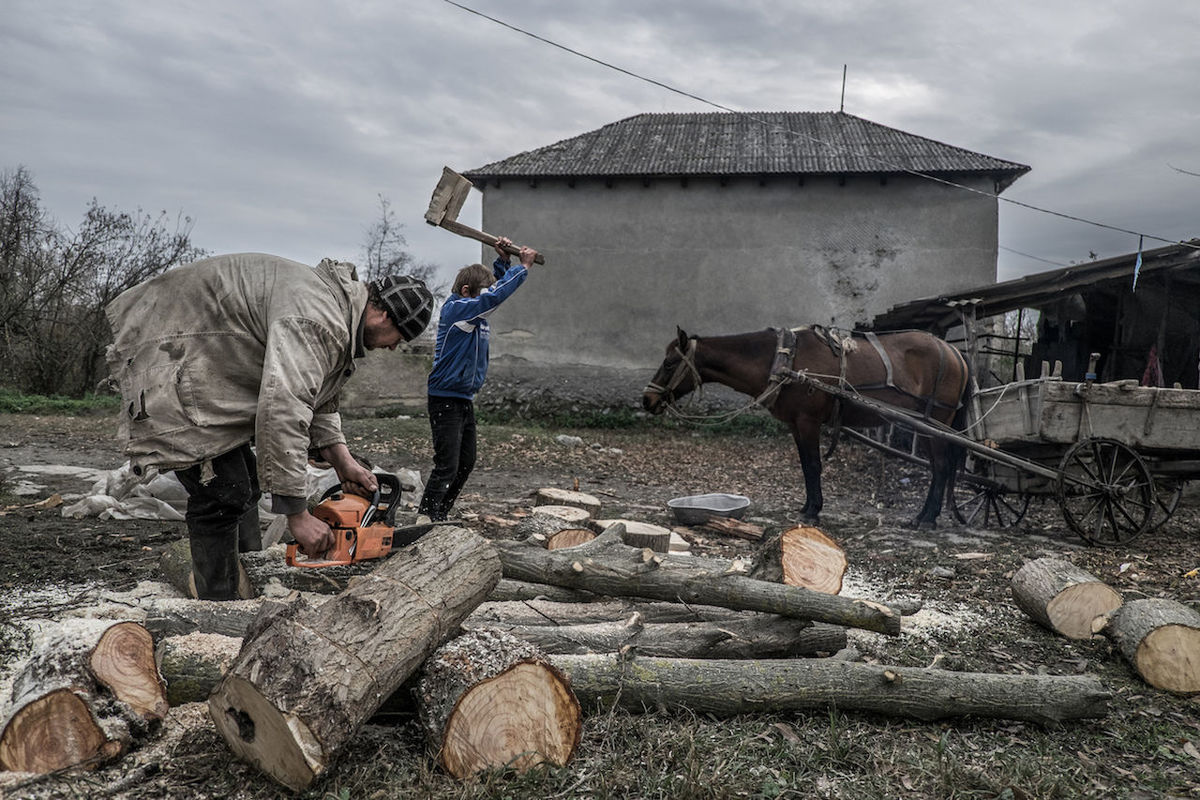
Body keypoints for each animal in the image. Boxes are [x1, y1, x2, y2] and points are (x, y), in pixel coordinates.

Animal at [643, 328, 969, 527]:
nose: (648, 399)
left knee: (941, 467)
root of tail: (954, 352)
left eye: (670, 363)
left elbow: (813, 465)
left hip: (934, 423)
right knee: (939, 467)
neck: (783, 360)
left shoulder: (808, 421)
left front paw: (813, 512)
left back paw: (927, 518)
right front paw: (807, 506)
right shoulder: (795, 425)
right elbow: (804, 466)